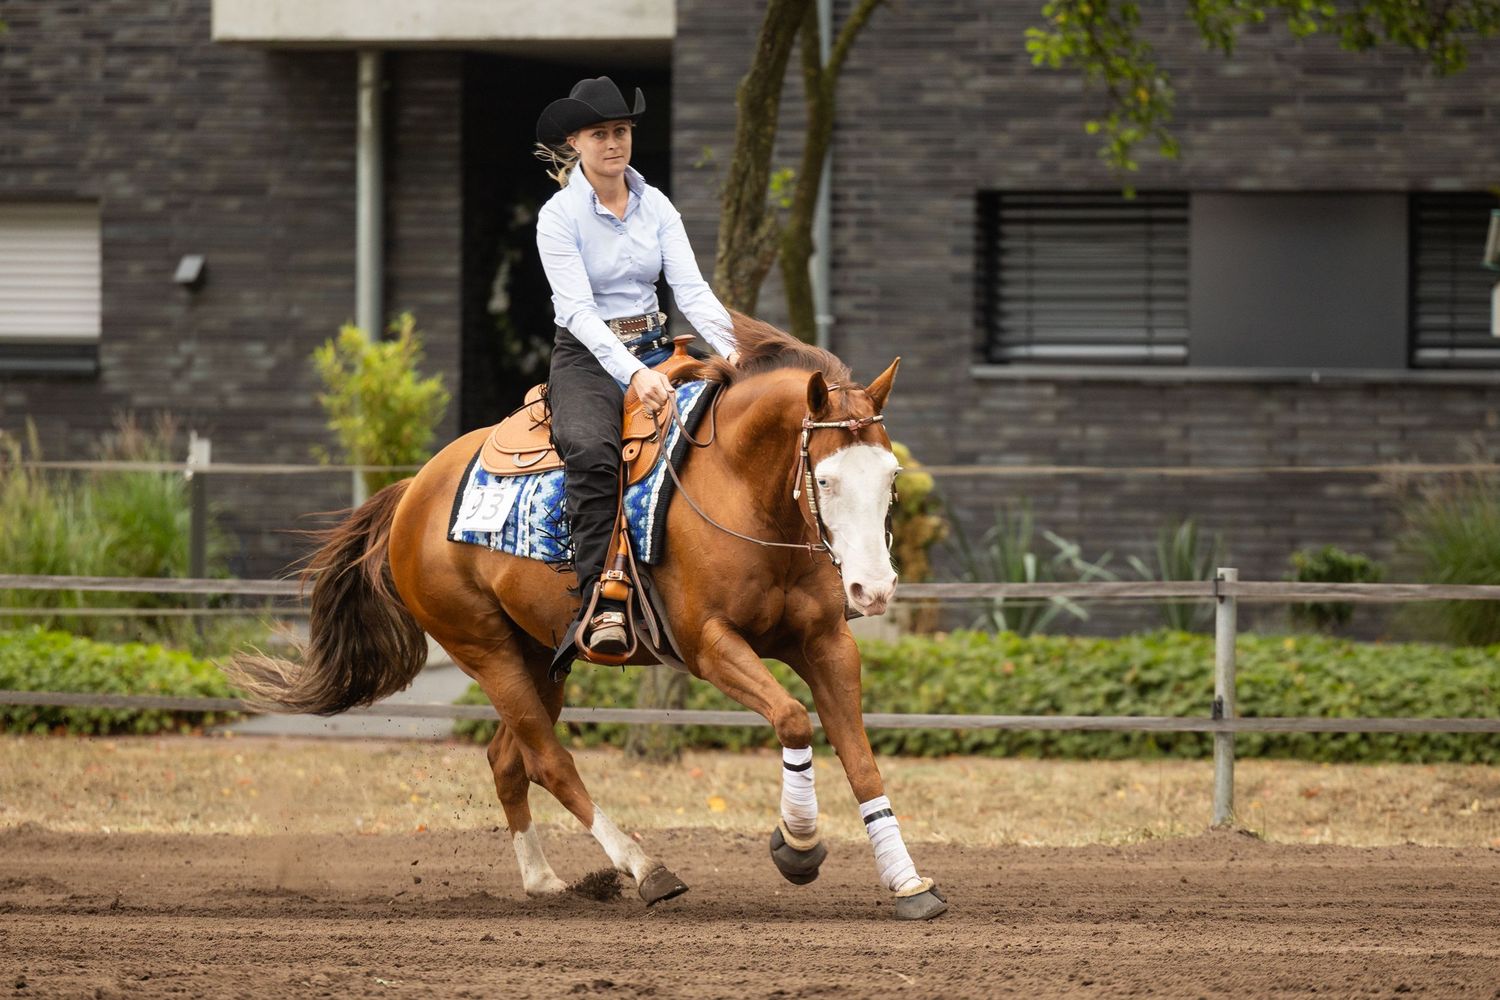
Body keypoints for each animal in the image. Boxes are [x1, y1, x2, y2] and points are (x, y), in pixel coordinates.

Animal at [227, 315, 948, 920]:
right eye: (825, 479)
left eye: (890, 476)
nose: (875, 588)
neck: (743, 489)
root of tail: (413, 492)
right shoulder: (708, 645)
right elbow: (795, 718)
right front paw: (796, 846)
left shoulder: (825, 642)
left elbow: (860, 756)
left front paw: (907, 881)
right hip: (483, 648)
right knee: (549, 761)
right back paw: (645, 869)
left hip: (540, 657)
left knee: (507, 759)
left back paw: (544, 880)